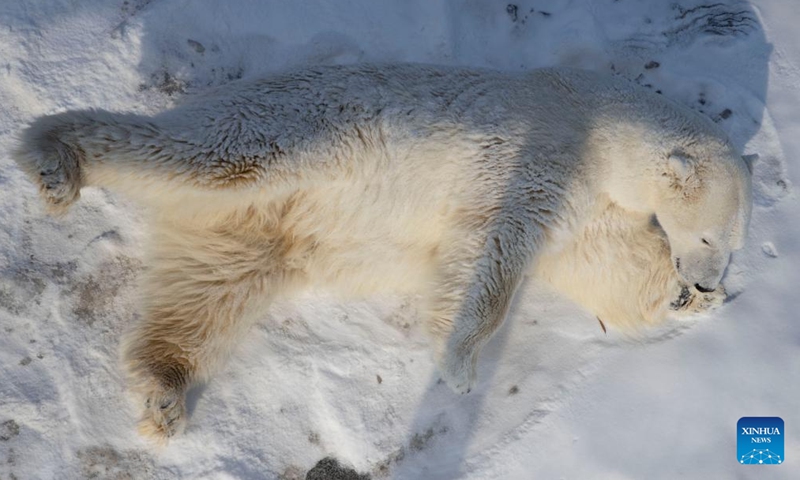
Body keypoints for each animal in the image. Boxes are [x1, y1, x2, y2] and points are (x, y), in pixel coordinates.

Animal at [10, 64, 752, 442]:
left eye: (729, 243)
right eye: (711, 236)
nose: (705, 280)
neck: (596, 120)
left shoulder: (590, 207)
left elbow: (600, 259)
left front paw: (684, 301)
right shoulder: (540, 154)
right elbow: (493, 249)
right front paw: (459, 366)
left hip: (245, 237)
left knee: (205, 296)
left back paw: (163, 392)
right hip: (285, 131)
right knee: (197, 153)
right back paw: (55, 159)